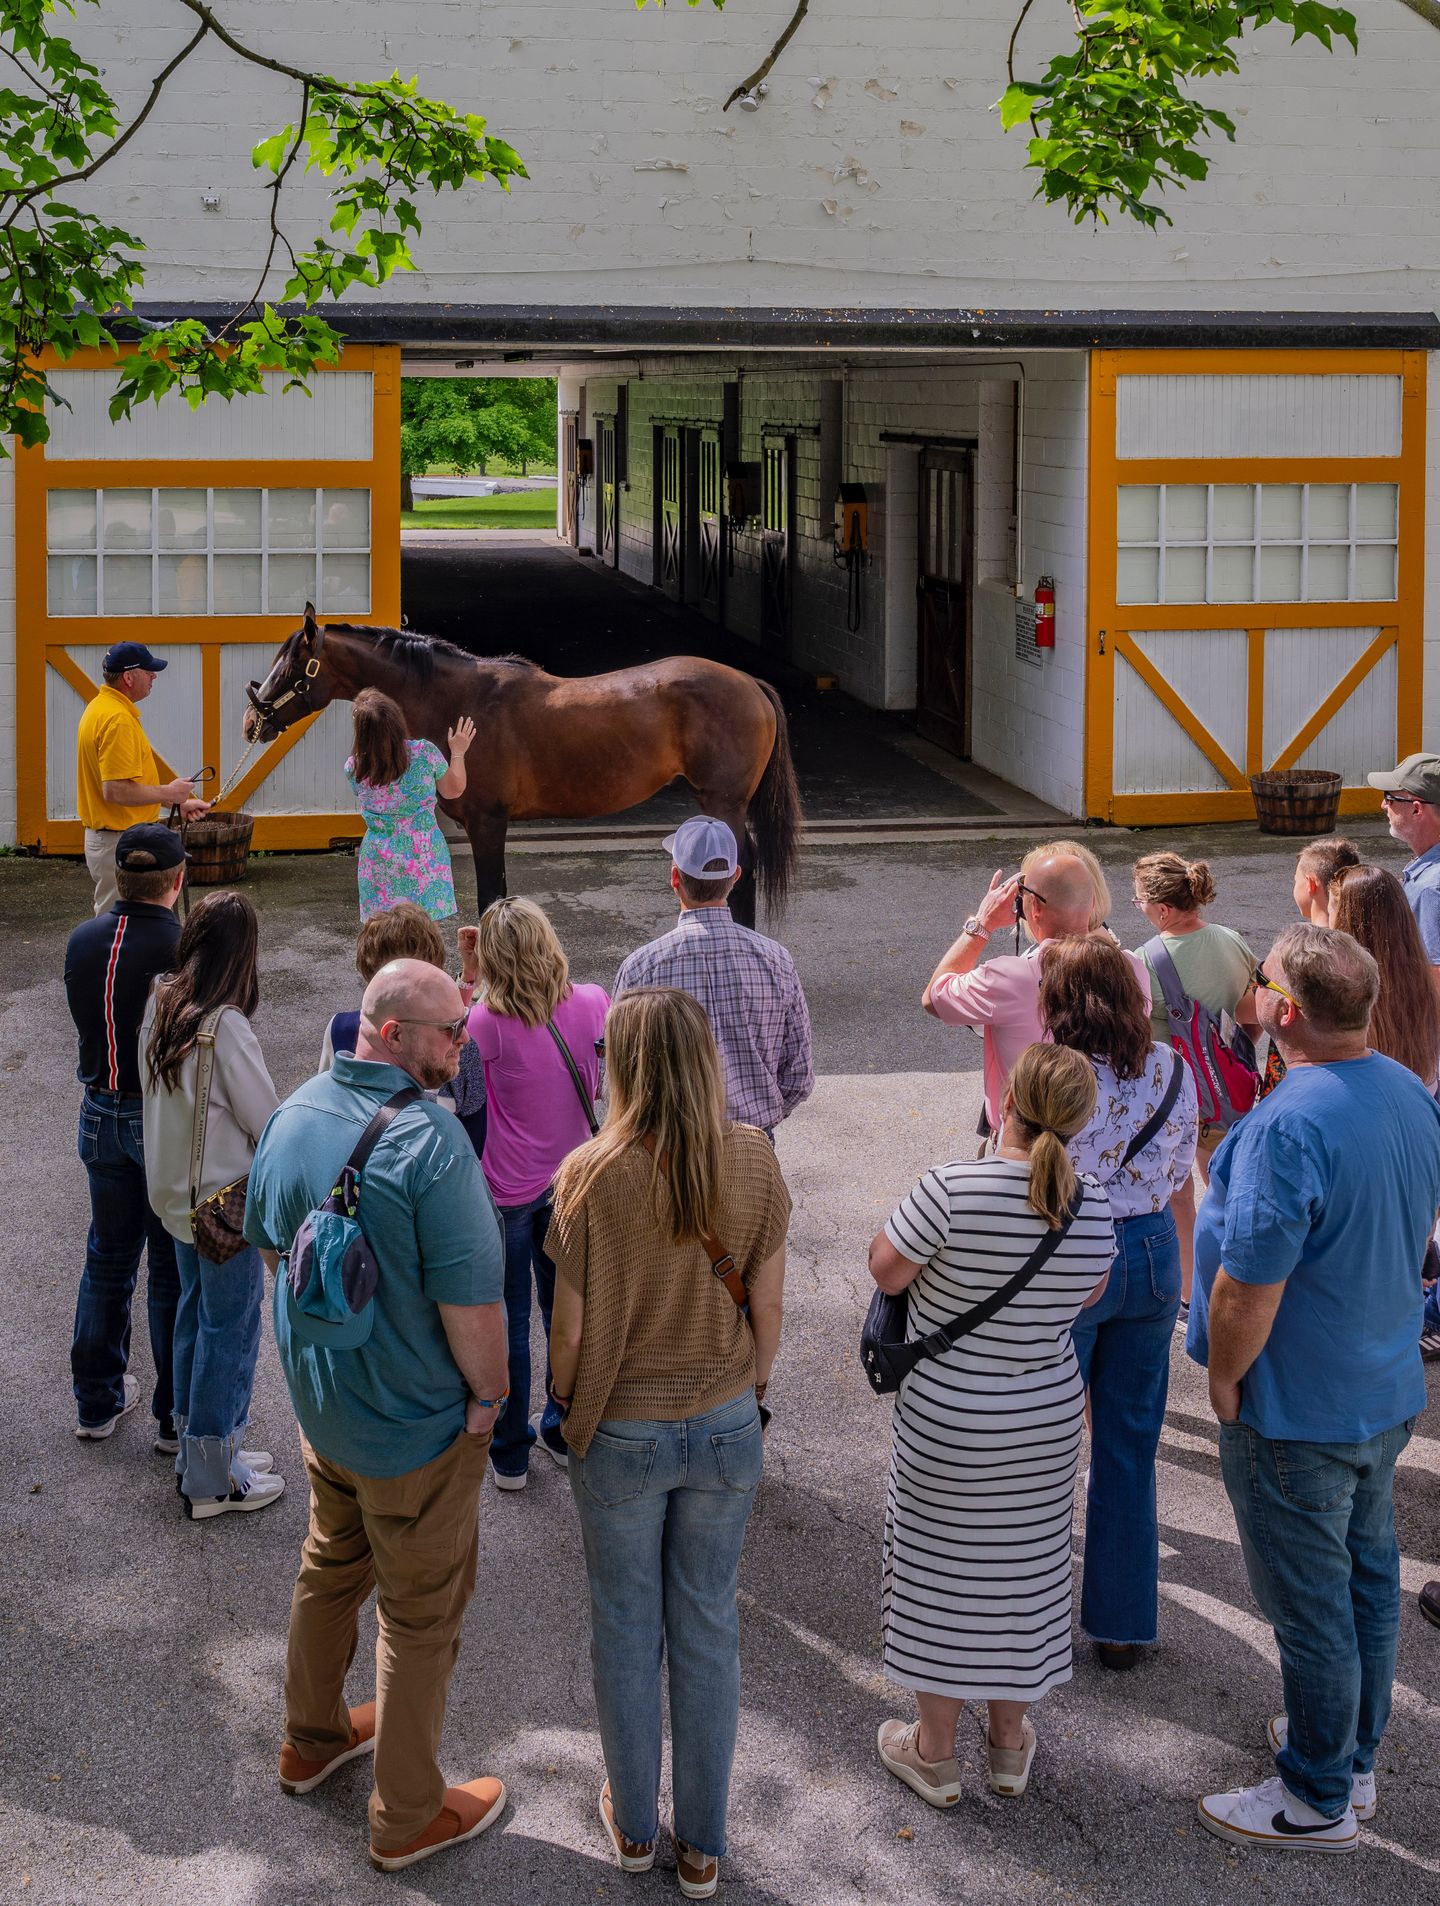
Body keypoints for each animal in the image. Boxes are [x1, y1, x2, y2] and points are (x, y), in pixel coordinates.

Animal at [242, 605, 802, 927]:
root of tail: (751, 684)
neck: (458, 703)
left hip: (723, 801)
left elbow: (492, 900)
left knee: (739, 869)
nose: (252, 721)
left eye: (293, 665)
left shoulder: (488, 822)